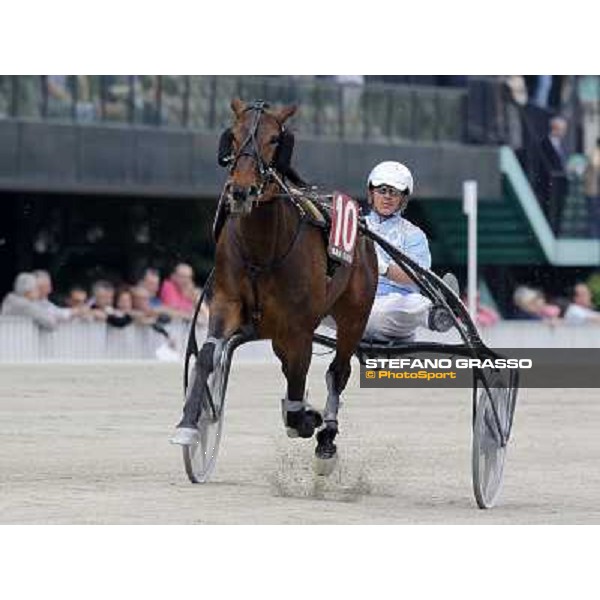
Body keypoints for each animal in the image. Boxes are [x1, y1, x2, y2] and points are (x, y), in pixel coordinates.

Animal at [172, 98, 376, 472]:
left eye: (274, 139)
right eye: (233, 135)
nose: (241, 190)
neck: (262, 248)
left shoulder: (299, 329)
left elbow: (298, 386)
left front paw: (307, 419)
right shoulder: (226, 303)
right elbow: (207, 356)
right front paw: (189, 426)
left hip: (354, 315)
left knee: (338, 371)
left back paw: (326, 436)